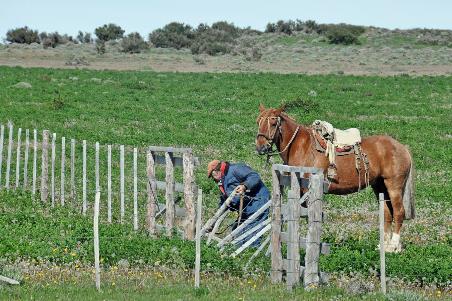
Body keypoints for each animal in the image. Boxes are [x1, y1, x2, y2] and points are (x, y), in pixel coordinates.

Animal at [256, 104, 414, 252]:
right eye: (258, 121)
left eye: (273, 123)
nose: (261, 147)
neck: (302, 146)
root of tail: (403, 148)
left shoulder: (307, 190)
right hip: (380, 186)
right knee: (387, 213)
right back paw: (384, 247)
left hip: (393, 185)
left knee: (399, 212)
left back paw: (394, 247)